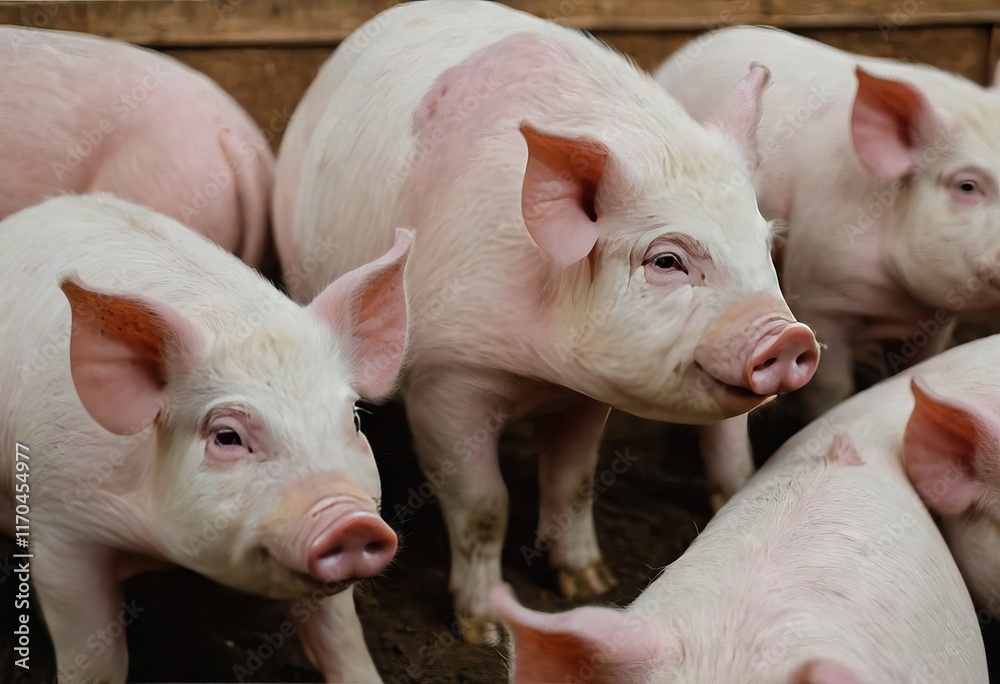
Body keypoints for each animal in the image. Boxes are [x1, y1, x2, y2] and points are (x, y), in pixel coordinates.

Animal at [0, 193, 411, 683]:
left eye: (354, 420)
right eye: (227, 436)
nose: (353, 522)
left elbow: (340, 634)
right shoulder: (59, 525)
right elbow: (97, 659)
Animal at [273, 0, 819, 643]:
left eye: (765, 244)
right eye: (667, 260)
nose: (789, 336)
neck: (536, 370)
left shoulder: (583, 397)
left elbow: (574, 480)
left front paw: (590, 584)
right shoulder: (445, 377)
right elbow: (483, 503)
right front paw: (482, 630)